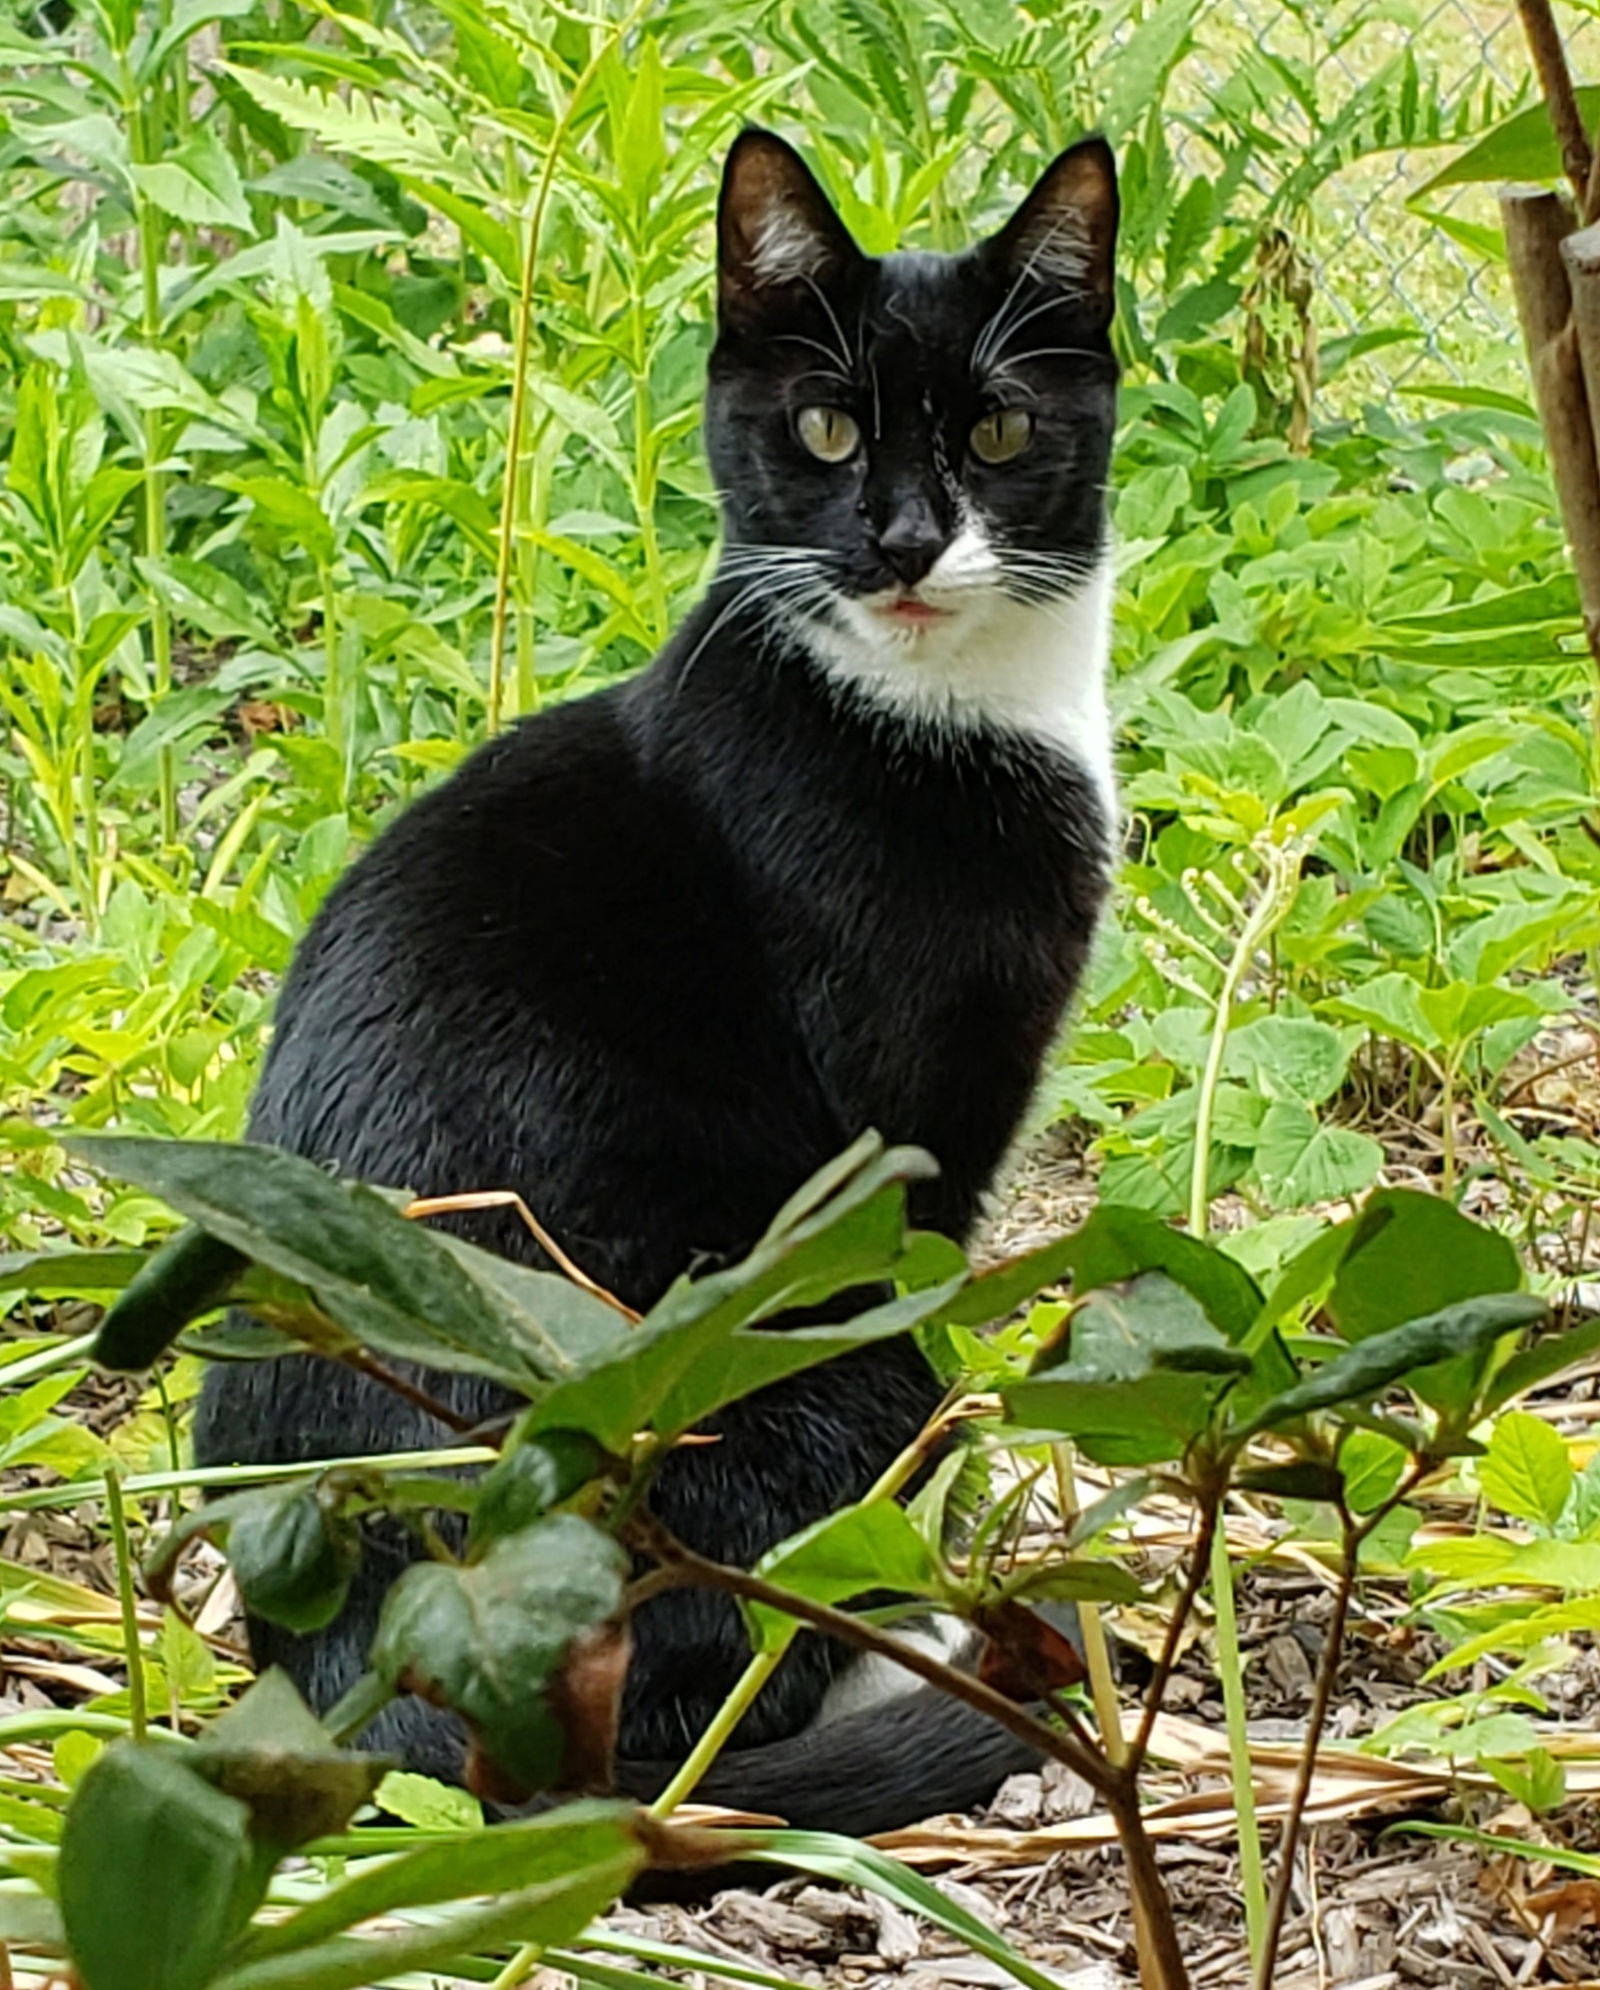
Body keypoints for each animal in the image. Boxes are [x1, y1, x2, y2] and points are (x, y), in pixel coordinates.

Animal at [197, 124, 1122, 1830]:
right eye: (824, 426)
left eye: (998, 426)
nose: (902, 540)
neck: (940, 712)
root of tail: (381, 1655)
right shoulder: (914, 1128)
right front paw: (937, 1568)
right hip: (763, 1324)